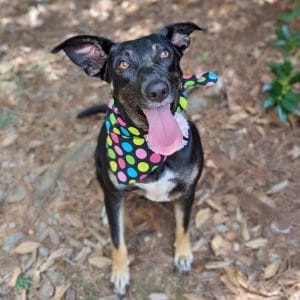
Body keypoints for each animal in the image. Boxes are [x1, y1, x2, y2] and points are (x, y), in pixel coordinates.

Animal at [51, 22, 216, 296]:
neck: (150, 149)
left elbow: (183, 226)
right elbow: (117, 240)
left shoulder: (188, 191)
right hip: (99, 169)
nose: (158, 90)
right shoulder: (114, 193)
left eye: (165, 54)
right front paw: (120, 274)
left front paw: (183, 254)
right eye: (122, 65)